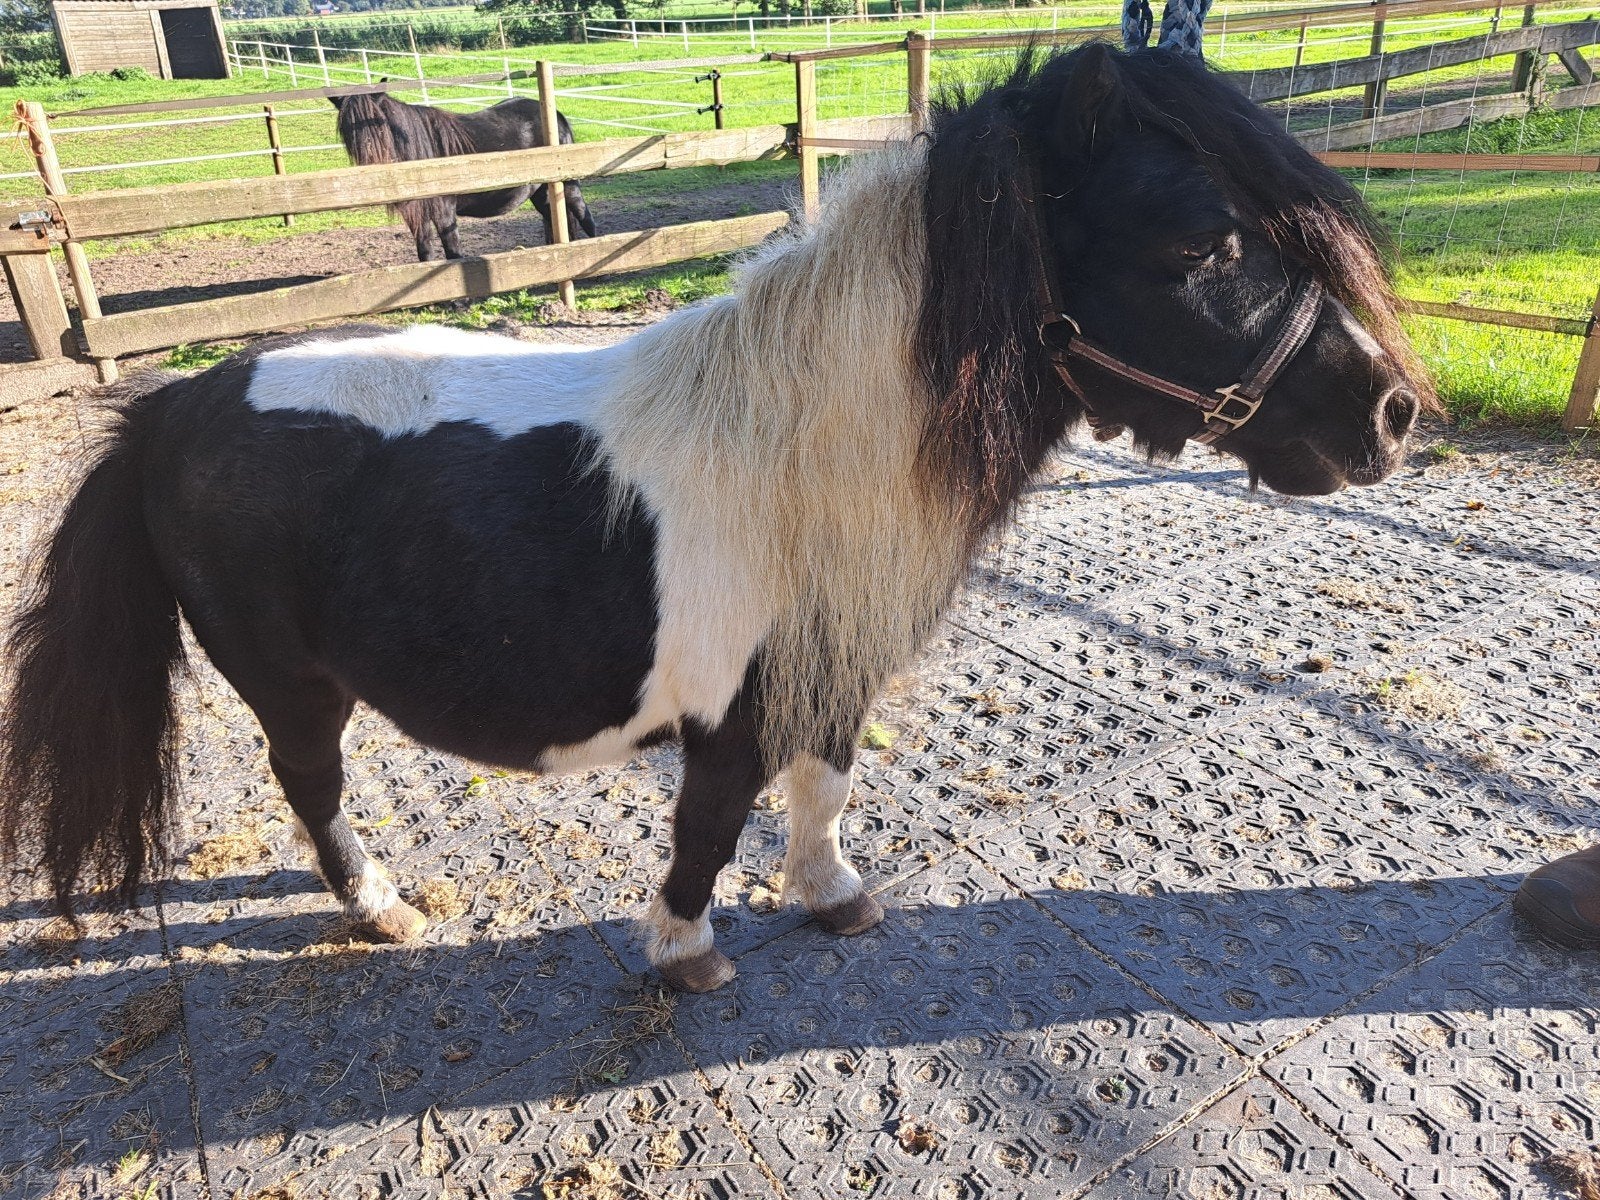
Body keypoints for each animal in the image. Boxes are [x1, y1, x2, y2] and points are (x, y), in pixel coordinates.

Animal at [331, 90, 598, 262]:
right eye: (345, 128)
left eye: (378, 124)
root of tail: (557, 114)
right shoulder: (417, 215)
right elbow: (425, 252)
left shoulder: (444, 212)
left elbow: (453, 252)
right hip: (542, 193)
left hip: (569, 187)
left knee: (586, 219)